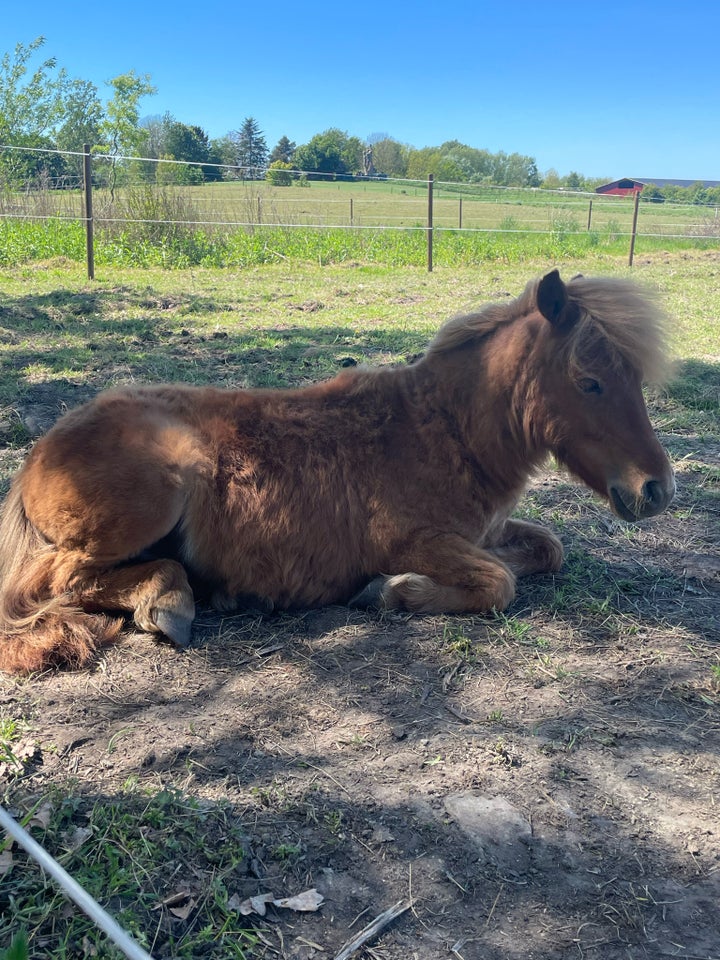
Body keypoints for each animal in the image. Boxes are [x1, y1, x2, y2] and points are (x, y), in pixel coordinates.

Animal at [0, 270, 676, 676]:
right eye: (589, 382)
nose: (657, 490)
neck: (443, 431)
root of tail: (38, 453)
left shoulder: (489, 530)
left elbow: (547, 548)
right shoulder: (413, 540)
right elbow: (497, 583)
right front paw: (396, 592)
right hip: (147, 503)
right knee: (52, 583)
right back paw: (170, 600)